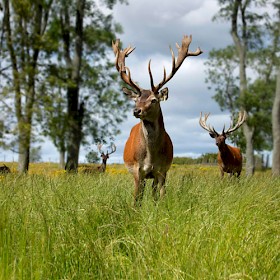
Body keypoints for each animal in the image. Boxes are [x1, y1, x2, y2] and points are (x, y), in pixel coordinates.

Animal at [112, 35, 202, 206]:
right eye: (136, 100)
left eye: (154, 100)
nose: (136, 111)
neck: (151, 156)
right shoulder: (137, 170)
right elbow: (136, 199)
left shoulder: (162, 170)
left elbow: (161, 197)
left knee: (153, 193)